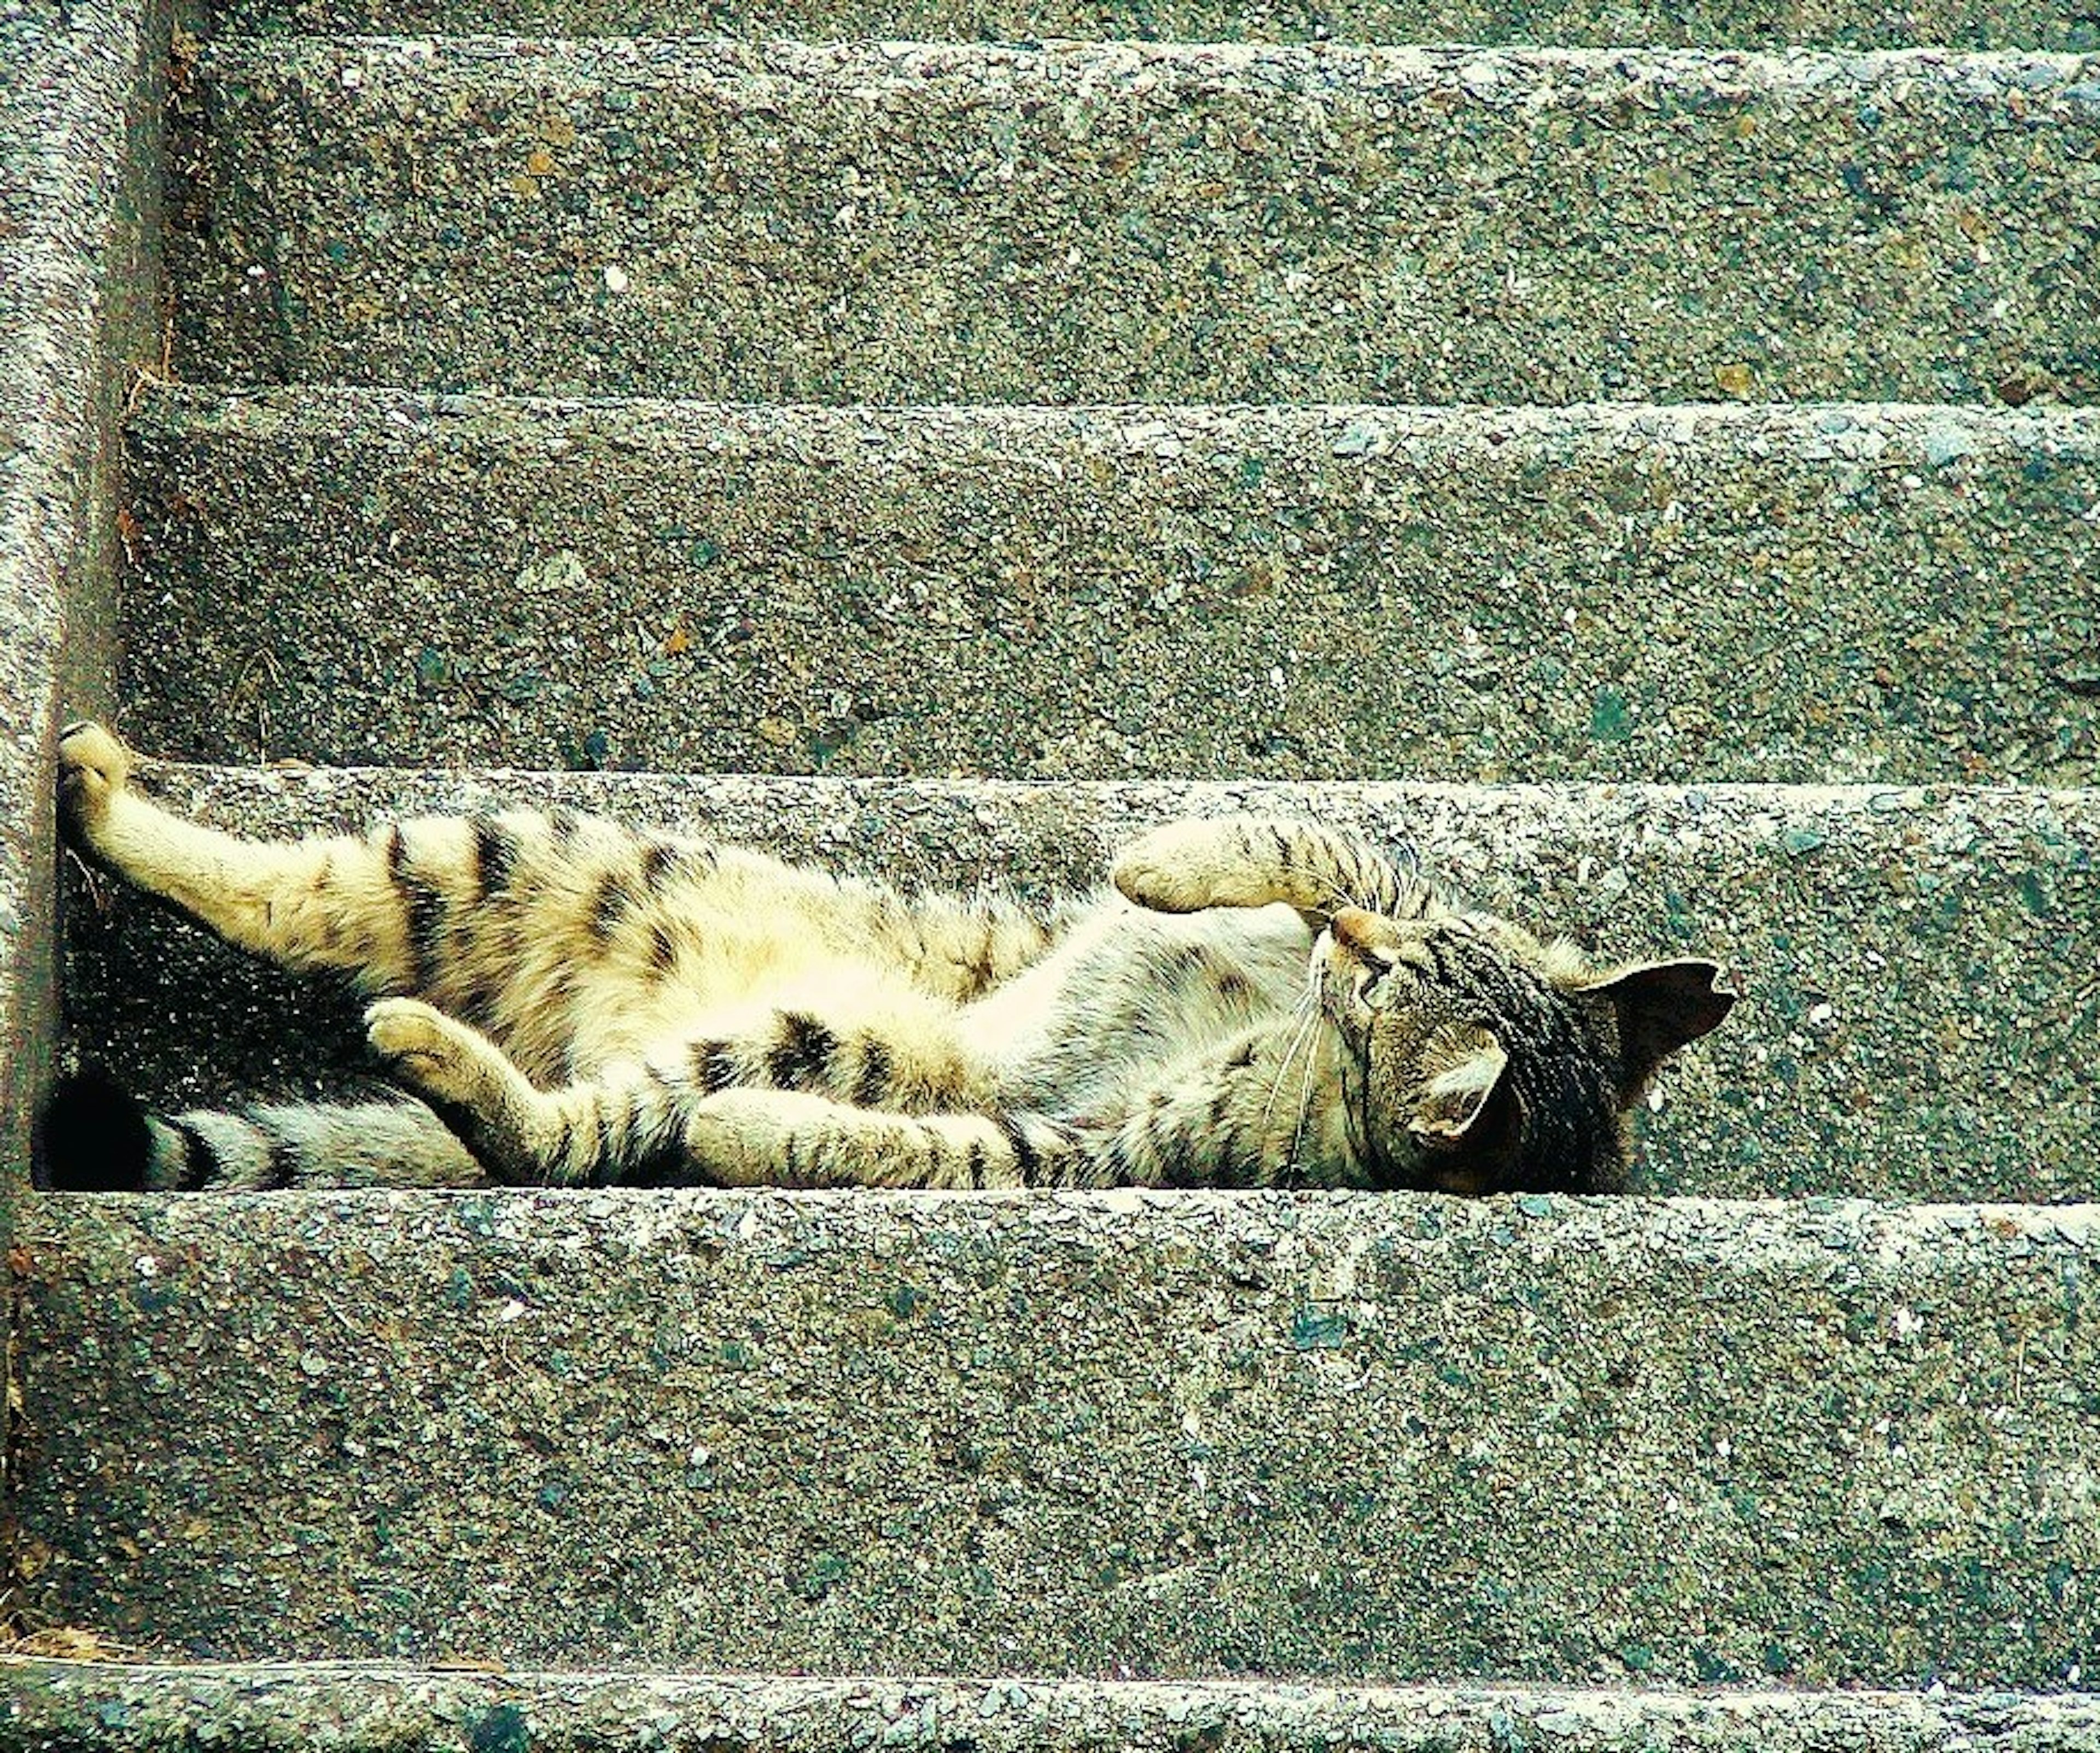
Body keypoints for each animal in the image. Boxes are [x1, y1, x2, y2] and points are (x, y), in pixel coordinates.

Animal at [45, 718, 1739, 1201]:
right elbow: (1297, 837)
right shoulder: (1381, 865)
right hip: (554, 861)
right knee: (306, 890)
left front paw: (750, 1143)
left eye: (1385, 991)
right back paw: (104, 794)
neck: (1305, 1044)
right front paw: (1161, 865)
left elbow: (917, 1150)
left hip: (750, 1015)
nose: (1350, 953)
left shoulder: (1090, 1147)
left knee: (565, 1125)